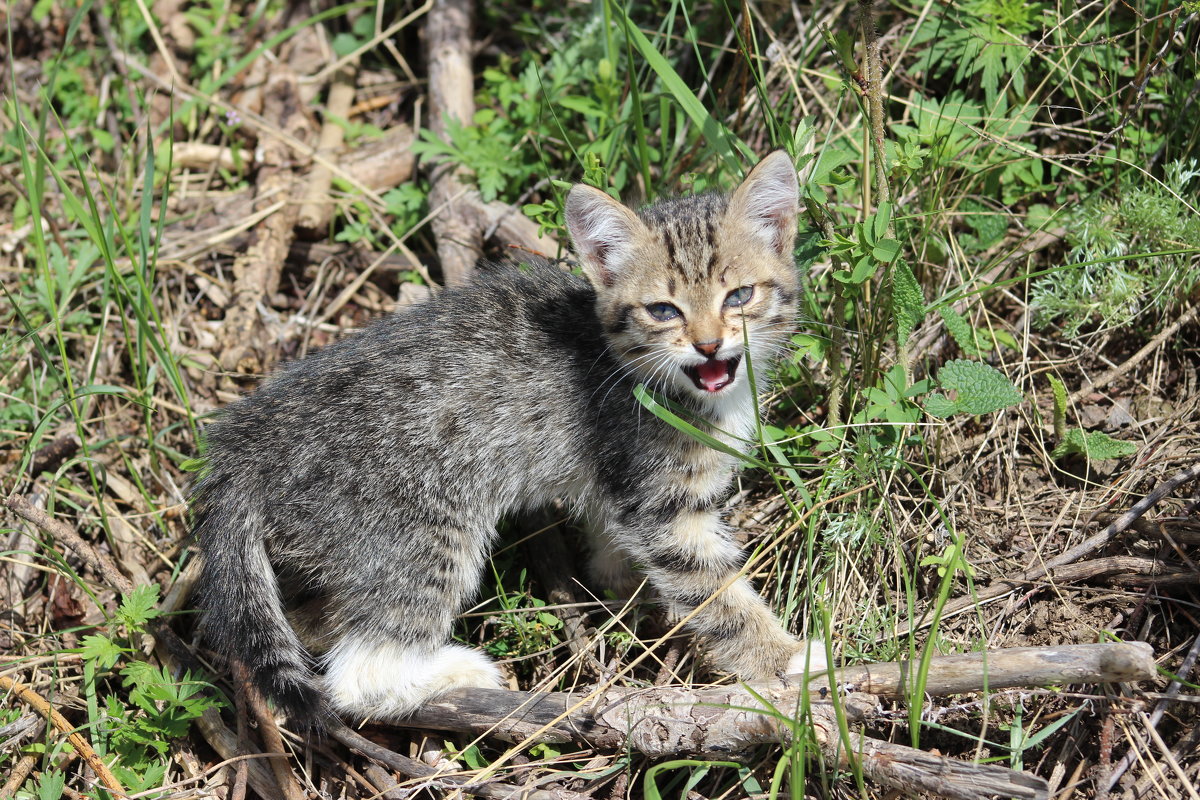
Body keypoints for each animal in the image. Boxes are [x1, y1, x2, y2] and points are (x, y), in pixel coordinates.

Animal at [192, 151, 825, 734]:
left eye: (738, 296)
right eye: (663, 310)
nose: (709, 345)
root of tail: (245, 444)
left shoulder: (617, 479)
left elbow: (612, 528)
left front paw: (615, 580)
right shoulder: (665, 507)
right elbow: (716, 591)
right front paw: (786, 660)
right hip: (422, 533)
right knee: (358, 675)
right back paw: (454, 672)